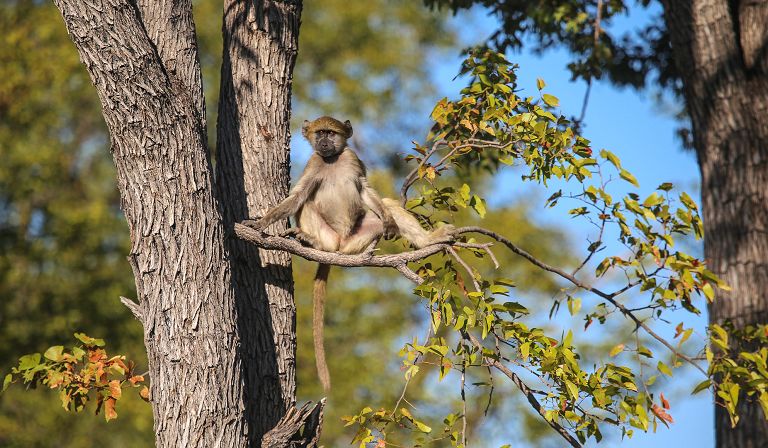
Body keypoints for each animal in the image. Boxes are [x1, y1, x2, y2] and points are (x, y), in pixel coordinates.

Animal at [249, 116, 454, 392]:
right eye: (320, 133)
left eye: (331, 133)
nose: (324, 143)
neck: (332, 160)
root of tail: (339, 245)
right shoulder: (314, 163)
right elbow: (298, 197)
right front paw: (260, 224)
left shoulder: (352, 158)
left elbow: (365, 189)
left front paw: (391, 223)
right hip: (332, 237)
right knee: (306, 202)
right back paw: (312, 241)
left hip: (355, 241)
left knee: (386, 205)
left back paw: (427, 239)